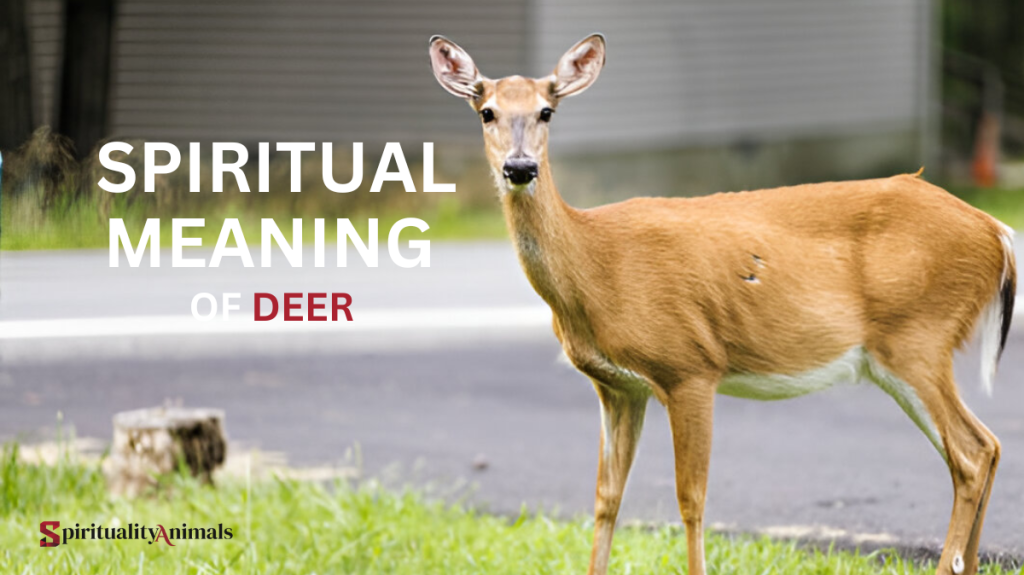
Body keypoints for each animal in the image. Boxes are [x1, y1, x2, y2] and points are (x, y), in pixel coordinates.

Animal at [428, 33, 1015, 575]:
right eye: (487, 111)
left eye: (546, 111)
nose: (520, 167)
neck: (596, 263)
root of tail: (997, 231)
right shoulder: (617, 386)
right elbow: (605, 498)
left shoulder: (689, 366)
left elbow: (691, 499)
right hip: (905, 351)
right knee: (985, 447)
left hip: (917, 334)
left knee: (970, 452)